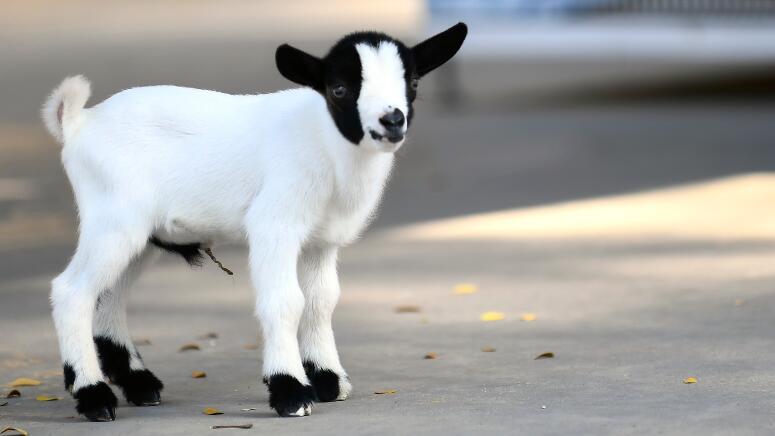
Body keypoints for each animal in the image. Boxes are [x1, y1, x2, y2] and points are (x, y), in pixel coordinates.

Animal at [41, 23, 466, 422]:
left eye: (412, 82)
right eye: (339, 89)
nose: (391, 120)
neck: (325, 142)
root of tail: (79, 121)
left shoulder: (321, 241)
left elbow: (322, 301)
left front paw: (327, 379)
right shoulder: (275, 224)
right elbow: (286, 301)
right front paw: (290, 391)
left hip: (142, 234)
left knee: (109, 294)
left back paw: (139, 384)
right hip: (114, 218)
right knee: (73, 291)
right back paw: (93, 396)